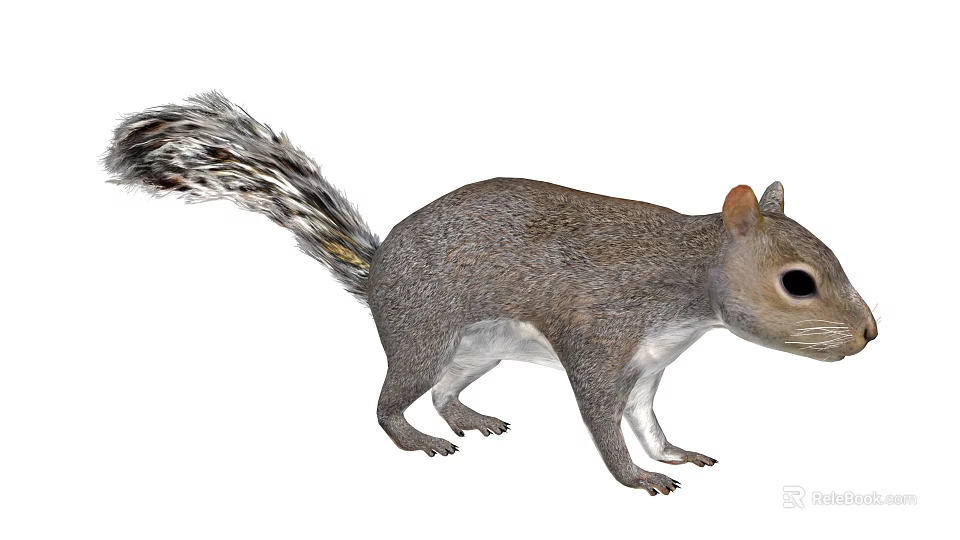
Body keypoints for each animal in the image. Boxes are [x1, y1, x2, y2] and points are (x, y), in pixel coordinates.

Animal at [104, 92, 878, 495]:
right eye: (798, 283)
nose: (870, 334)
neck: (689, 278)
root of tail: (377, 273)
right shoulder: (602, 336)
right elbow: (603, 418)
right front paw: (634, 477)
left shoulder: (650, 363)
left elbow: (645, 416)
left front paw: (671, 453)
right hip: (423, 336)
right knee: (390, 403)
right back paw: (417, 440)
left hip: (478, 352)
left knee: (445, 393)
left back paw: (468, 420)